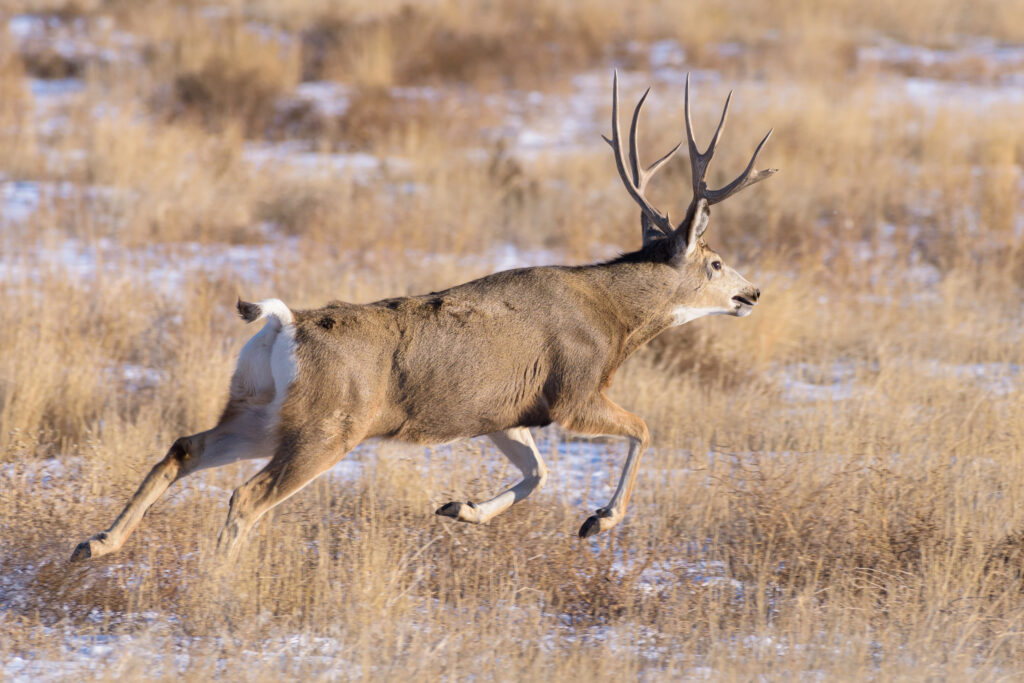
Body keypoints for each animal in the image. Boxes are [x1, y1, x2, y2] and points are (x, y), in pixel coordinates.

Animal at [70, 74, 774, 565]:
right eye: (715, 261)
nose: (753, 293)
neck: (614, 316)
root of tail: (283, 324)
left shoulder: (505, 413)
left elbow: (538, 472)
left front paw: (460, 508)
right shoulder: (574, 393)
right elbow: (643, 429)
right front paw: (597, 519)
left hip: (262, 411)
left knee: (184, 446)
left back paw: (95, 544)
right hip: (329, 425)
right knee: (248, 496)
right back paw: (216, 583)